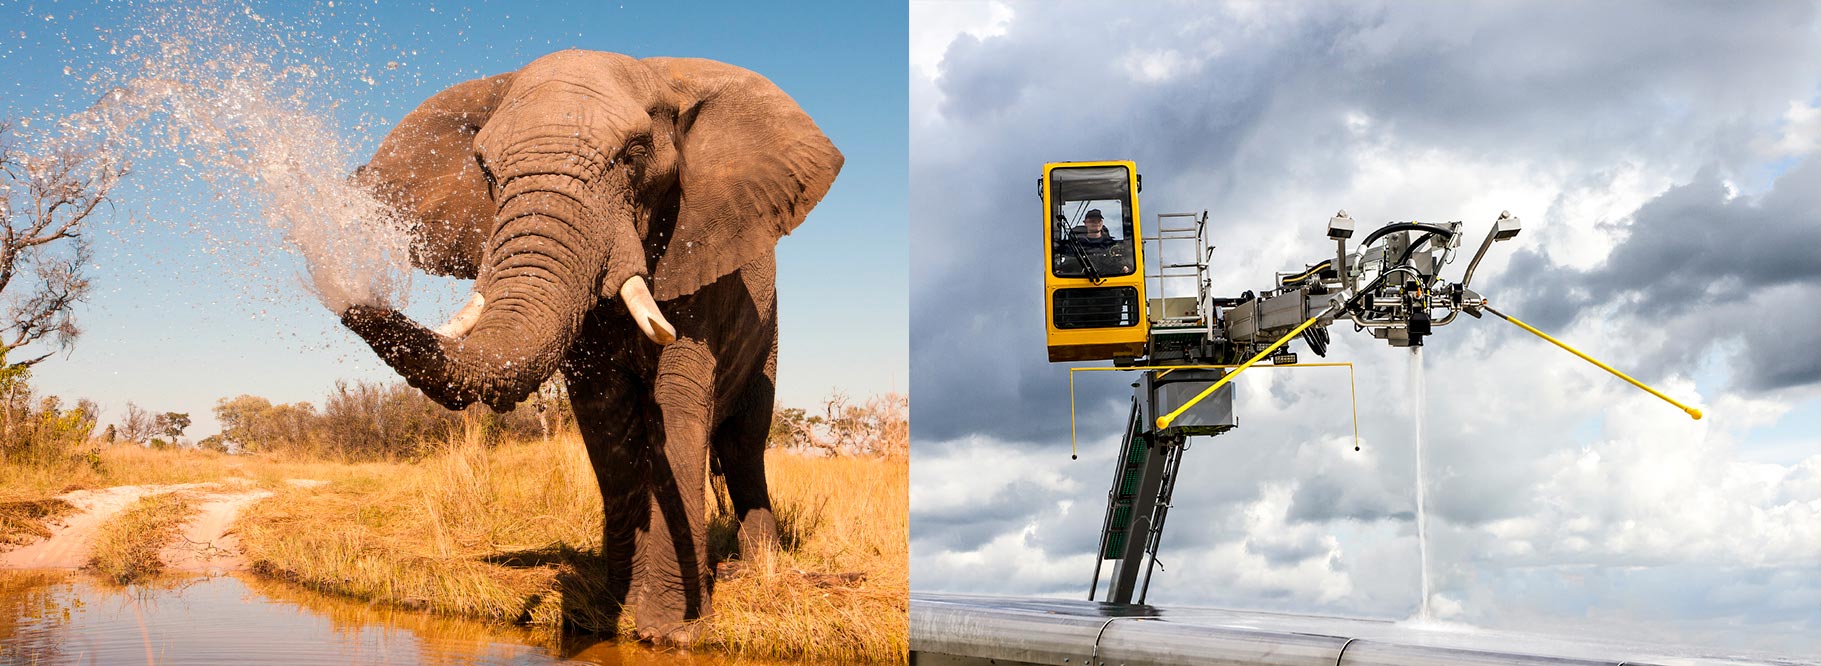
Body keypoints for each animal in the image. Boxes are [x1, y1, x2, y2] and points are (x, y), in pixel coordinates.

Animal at [336, 50, 842, 643]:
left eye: (635, 156)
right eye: (486, 171)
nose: (350, 298)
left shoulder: (700, 254)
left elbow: (677, 403)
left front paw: (671, 631)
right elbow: (605, 414)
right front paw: (609, 613)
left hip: (770, 335)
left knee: (744, 444)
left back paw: (757, 567)